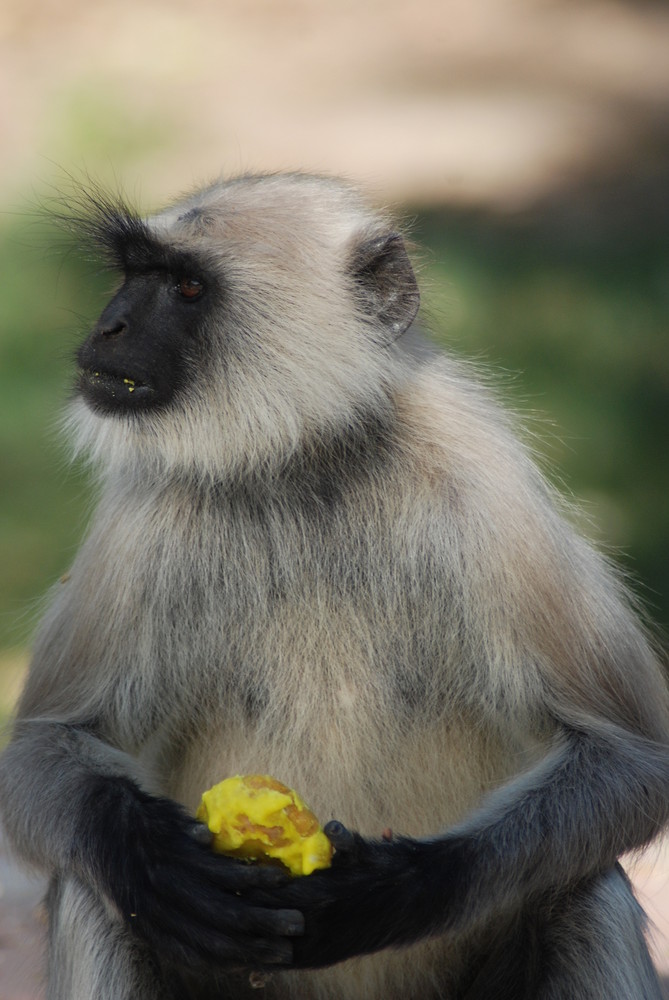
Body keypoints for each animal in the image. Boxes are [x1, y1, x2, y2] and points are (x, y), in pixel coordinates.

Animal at [1, 172, 668, 1000]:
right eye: (131, 276)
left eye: (186, 287)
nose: (111, 326)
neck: (303, 465)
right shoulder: (143, 522)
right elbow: (38, 755)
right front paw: (152, 863)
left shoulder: (488, 493)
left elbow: (634, 760)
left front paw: (398, 891)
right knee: (95, 893)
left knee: (586, 887)